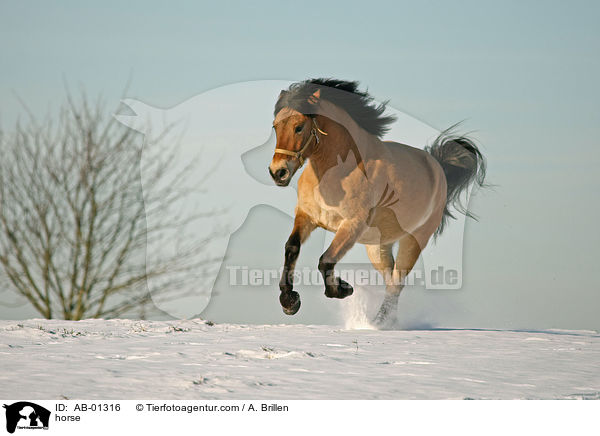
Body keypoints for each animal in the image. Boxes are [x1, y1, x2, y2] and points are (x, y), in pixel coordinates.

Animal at [270, 78, 486, 326]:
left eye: (299, 127)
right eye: (275, 127)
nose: (278, 173)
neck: (336, 173)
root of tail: (437, 166)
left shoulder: (352, 225)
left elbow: (326, 260)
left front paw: (343, 289)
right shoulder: (307, 217)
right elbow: (292, 248)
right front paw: (289, 302)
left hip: (414, 240)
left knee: (396, 282)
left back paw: (380, 322)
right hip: (378, 246)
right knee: (390, 277)